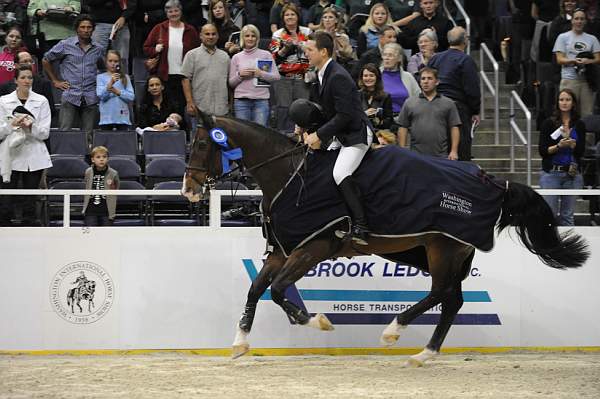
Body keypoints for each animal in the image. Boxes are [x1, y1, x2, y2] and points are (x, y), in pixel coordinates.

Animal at [179, 111, 592, 368]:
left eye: (201, 145)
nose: (188, 190)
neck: (289, 175)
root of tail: (493, 181)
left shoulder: (314, 247)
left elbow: (279, 291)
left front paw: (317, 321)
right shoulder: (284, 250)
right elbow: (256, 289)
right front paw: (239, 343)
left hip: (443, 247)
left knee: (441, 294)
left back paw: (394, 330)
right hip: (439, 250)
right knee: (452, 300)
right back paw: (424, 354)